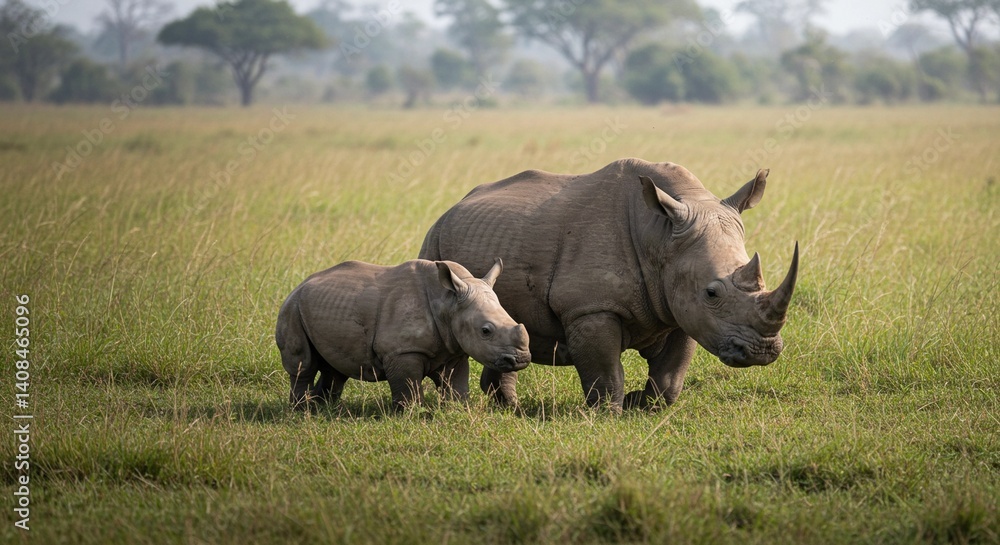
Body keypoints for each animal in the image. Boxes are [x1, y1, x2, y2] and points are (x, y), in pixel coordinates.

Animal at [275, 258, 531, 409]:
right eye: (486, 331)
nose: (521, 359)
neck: (448, 302)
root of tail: (299, 284)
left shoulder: (453, 349)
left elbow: (456, 383)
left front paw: (456, 409)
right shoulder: (402, 350)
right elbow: (408, 384)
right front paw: (413, 413)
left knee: (335, 367)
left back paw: (325, 409)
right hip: (292, 308)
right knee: (303, 365)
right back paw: (302, 410)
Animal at [419, 158, 798, 410]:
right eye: (712, 292)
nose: (762, 352)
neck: (660, 236)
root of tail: (454, 205)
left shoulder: (681, 308)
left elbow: (670, 377)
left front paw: (642, 405)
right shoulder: (589, 308)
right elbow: (605, 371)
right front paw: (609, 412)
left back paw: (507, 407)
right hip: (434, 242)